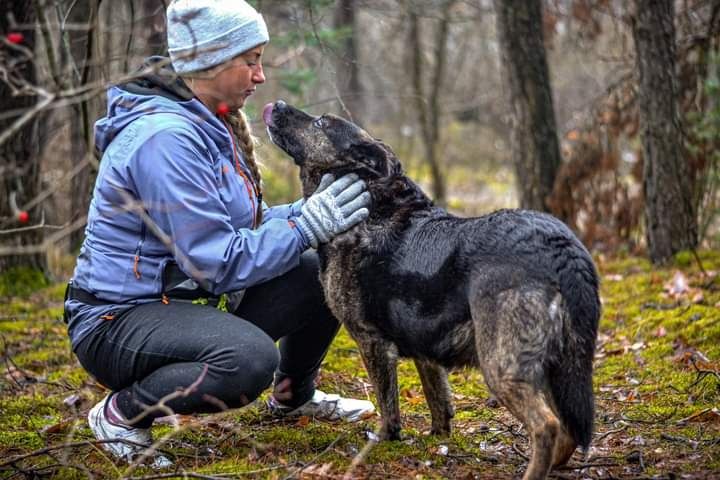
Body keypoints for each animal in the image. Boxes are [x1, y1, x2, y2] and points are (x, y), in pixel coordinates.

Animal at [264, 100, 600, 480]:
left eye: (321, 122)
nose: (276, 103)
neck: (371, 203)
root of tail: (561, 247)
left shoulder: (372, 342)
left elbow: (388, 405)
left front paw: (385, 440)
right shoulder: (426, 350)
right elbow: (438, 400)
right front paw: (437, 439)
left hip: (502, 363)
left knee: (547, 425)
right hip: (560, 363)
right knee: (567, 426)